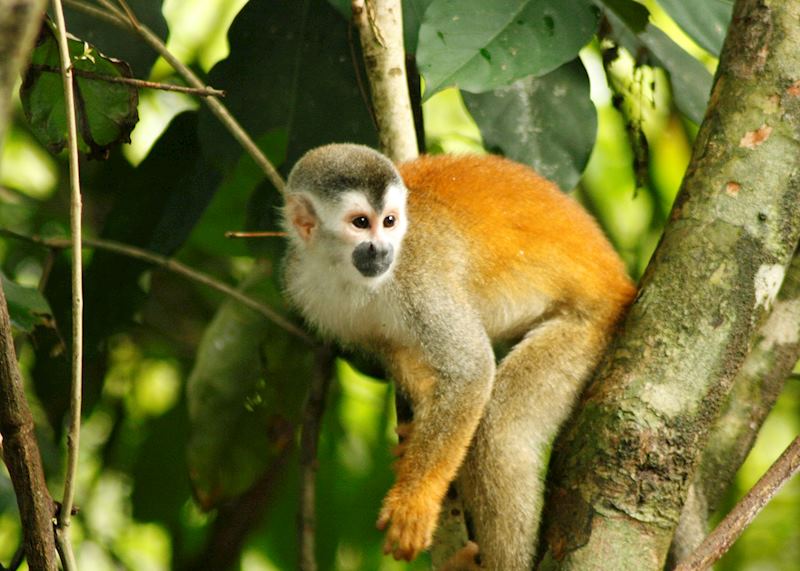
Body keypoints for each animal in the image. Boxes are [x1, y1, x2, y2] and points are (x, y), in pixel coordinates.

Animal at [282, 144, 636, 571]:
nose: (381, 250)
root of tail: (618, 282)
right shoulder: (313, 296)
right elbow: (396, 351)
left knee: (500, 433)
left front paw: (415, 501)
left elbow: (471, 370)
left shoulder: (418, 275)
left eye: (389, 222)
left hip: (589, 328)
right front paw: (417, 436)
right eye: (360, 223)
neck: (341, 273)